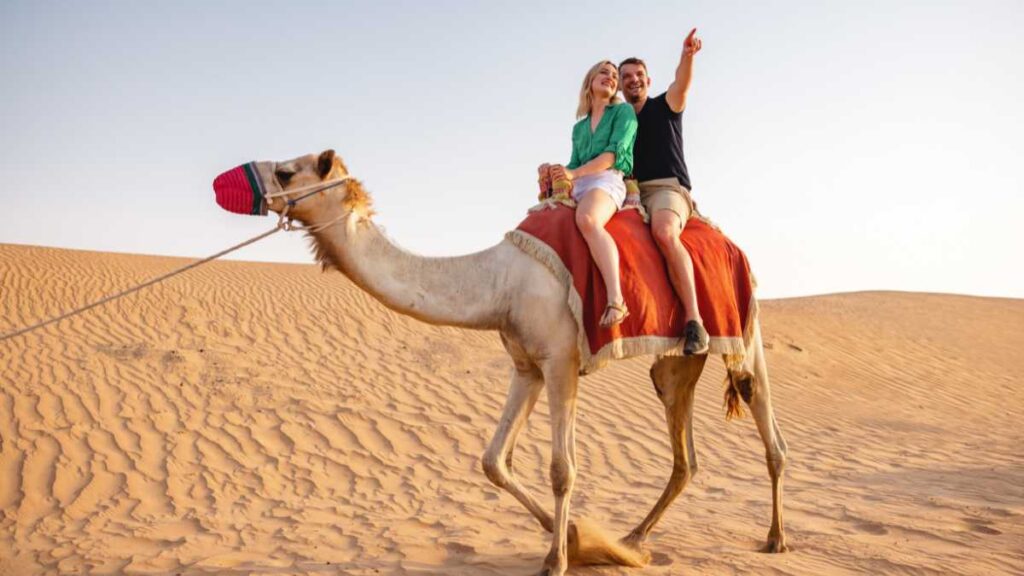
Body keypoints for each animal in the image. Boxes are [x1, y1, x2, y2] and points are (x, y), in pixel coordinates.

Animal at [254, 149, 789, 575]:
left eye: (286, 171)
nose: (252, 185)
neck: (500, 282)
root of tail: (731, 244)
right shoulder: (526, 365)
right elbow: (493, 460)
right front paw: (576, 537)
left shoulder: (561, 361)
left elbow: (562, 469)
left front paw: (557, 558)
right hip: (675, 364)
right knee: (684, 454)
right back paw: (633, 539)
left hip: (745, 328)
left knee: (765, 420)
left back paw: (776, 538)